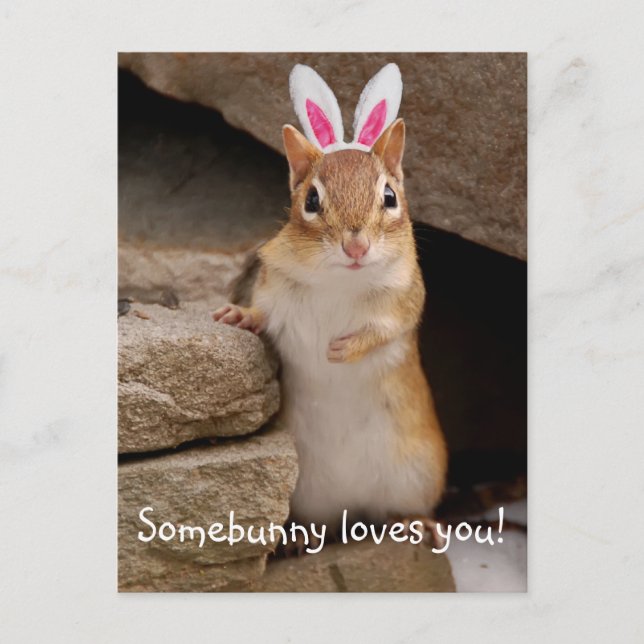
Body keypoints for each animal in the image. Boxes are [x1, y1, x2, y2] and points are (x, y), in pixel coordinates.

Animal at [214, 63, 447, 538]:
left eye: (389, 197)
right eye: (311, 199)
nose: (355, 247)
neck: (340, 283)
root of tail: (350, 509)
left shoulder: (404, 302)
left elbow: (383, 331)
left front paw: (344, 349)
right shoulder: (274, 289)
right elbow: (261, 312)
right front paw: (236, 313)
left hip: (417, 474)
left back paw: (416, 523)